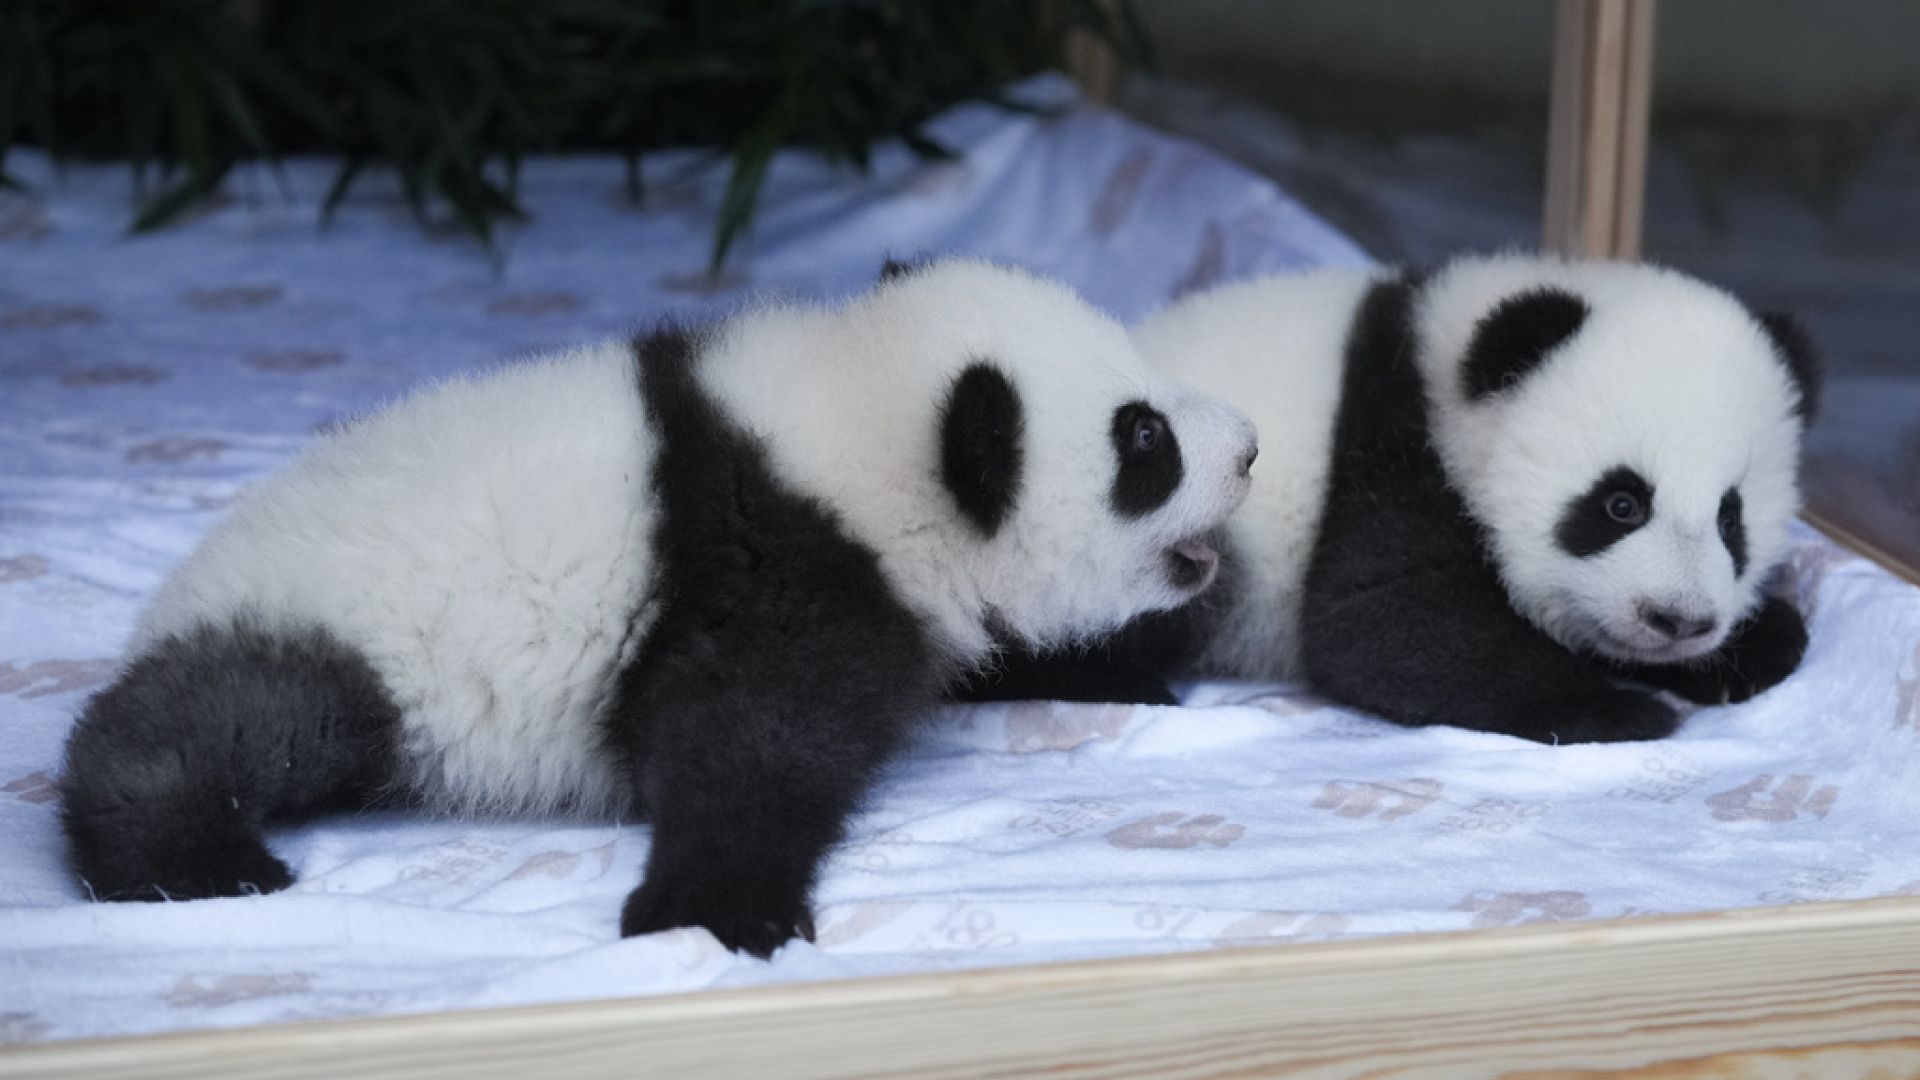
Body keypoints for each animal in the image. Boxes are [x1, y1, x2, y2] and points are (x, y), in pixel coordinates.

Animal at [59, 258, 1259, 957]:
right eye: (1144, 439)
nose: (1248, 448)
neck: (851, 430)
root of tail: (177, 593)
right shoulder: (771, 566)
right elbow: (750, 741)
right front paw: (717, 907)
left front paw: (1123, 676)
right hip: (332, 636)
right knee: (230, 721)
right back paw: (187, 856)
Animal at [959, 253, 1820, 745]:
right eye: (1620, 504)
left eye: (1733, 518)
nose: (1679, 622)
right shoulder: (1390, 440)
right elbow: (1382, 621)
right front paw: (1613, 709)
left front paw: (1760, 645)